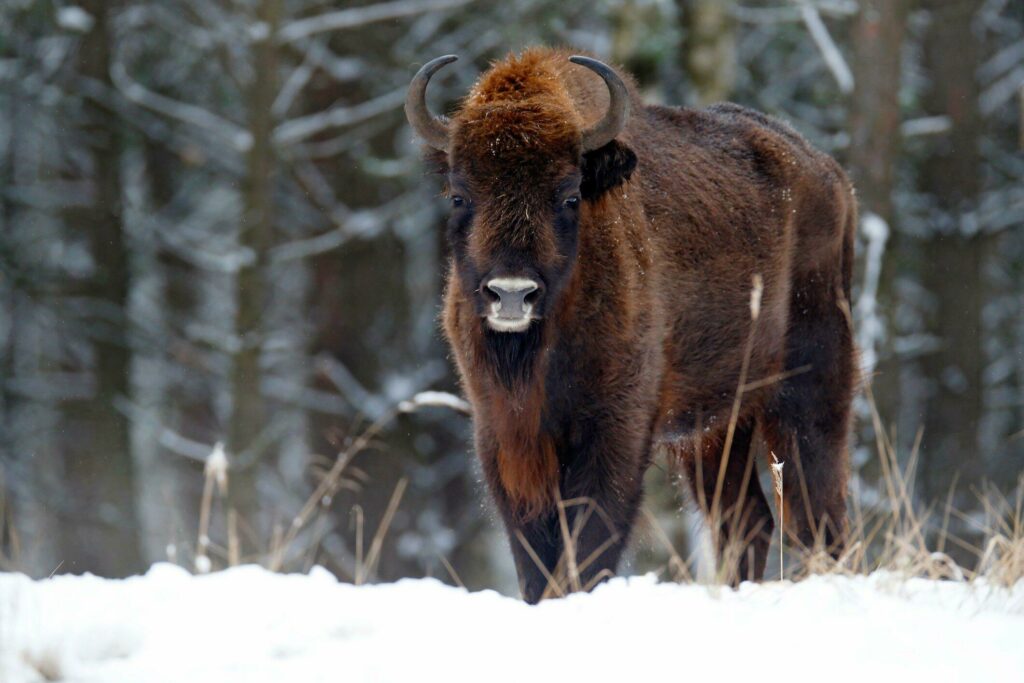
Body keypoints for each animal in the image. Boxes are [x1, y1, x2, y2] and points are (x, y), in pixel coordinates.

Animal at [405, 49, 856, 602]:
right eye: (459, 196)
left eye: (570, 195)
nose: (511, 292)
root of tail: (833, 178)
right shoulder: (504, 434)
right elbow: (534, 551)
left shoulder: (616, 428)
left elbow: (588, 539)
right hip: (717, 429)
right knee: (746, 520)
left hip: (808, 399)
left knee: (817, 518)